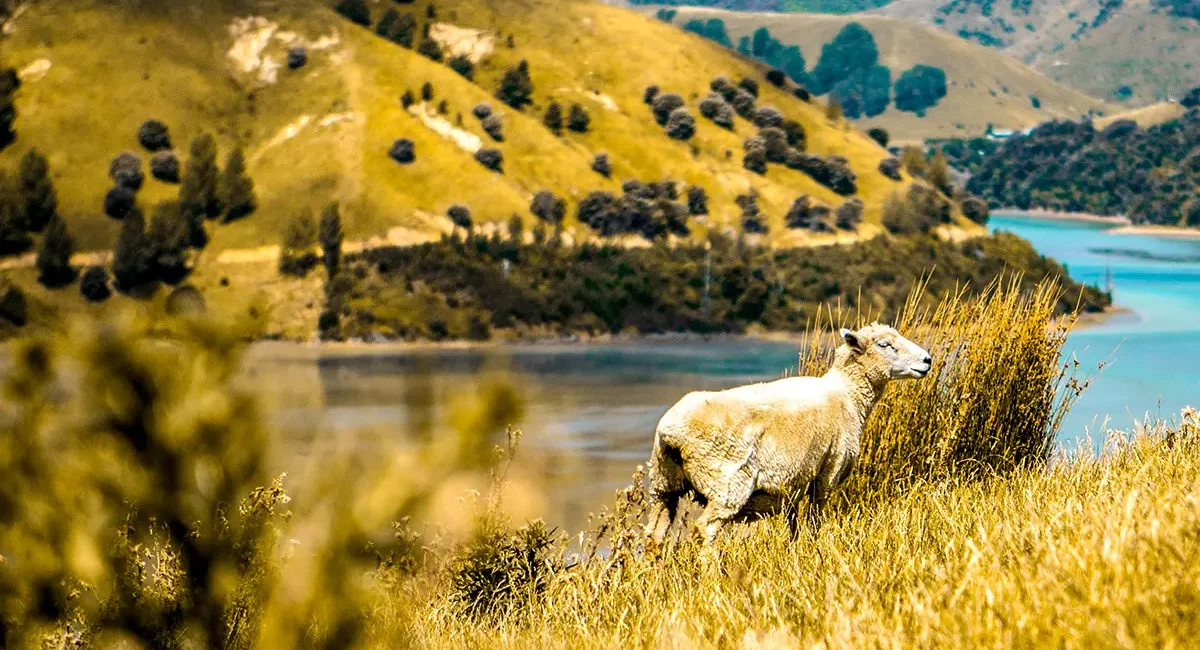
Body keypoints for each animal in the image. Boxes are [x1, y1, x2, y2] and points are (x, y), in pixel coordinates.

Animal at [645, 323, 932, 544]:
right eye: (884, 345)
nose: (927, 360)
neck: (846, 395)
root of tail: (672, 431)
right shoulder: (828, 470)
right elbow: (815, 518)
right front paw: (815, 548)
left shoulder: (795, 479)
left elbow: (793, 523)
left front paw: (794, 549)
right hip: (726, 482)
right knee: (705, 529)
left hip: (663, 481)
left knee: (654, 532)